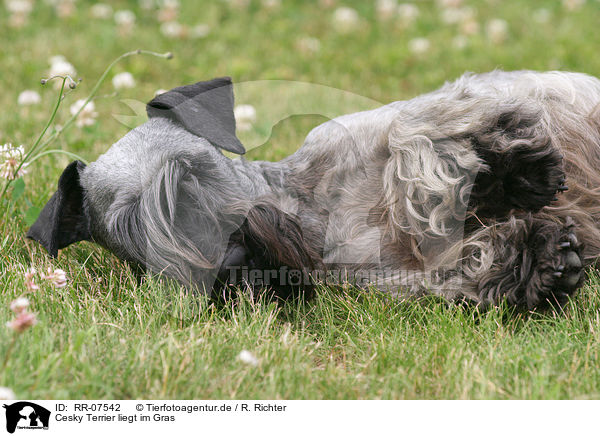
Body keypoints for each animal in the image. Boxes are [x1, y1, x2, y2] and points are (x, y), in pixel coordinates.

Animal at [29, 70, 600, 310]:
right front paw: (539, 261)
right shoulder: (393, 280)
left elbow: (413, 131)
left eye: (189, 175)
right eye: (130, 232)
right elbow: (462, 269)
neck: (319, 218)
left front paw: (509, 166)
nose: (232, 269)